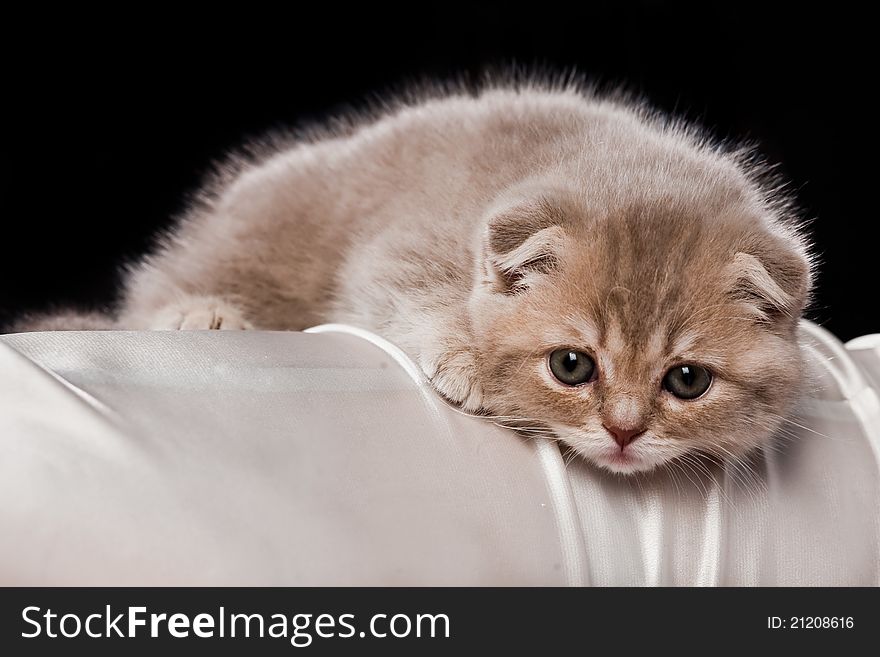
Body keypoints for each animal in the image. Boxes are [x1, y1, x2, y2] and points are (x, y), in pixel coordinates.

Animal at [17, 82, 816, 474]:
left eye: (687, 380)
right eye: (572, 365)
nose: (623, 431)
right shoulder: (401, 246)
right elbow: (416, 291)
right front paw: (467, 358)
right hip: (259, 230)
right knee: (161, 288)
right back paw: (202, 313)